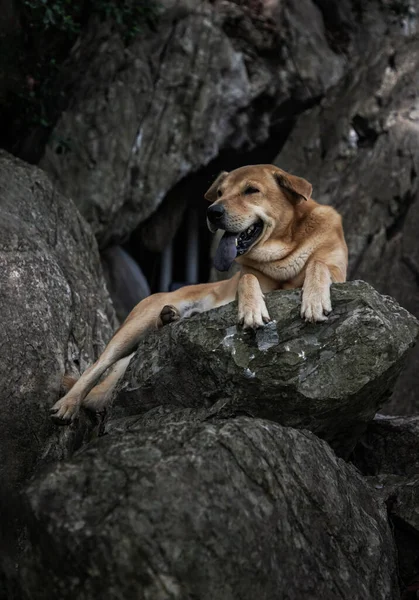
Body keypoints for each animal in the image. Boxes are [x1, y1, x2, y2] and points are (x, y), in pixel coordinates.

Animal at [50, 164, 350, 422]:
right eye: (220, 193)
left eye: (251, 190)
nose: (212, 212)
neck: (286, 247)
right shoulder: (249, 275)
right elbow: (247, 277)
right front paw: (252, 309)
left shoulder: (338, 272)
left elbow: (318, 265)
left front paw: (314, 300)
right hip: (132, 327)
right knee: (95, 368)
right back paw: (68, 404)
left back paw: (170, 319)